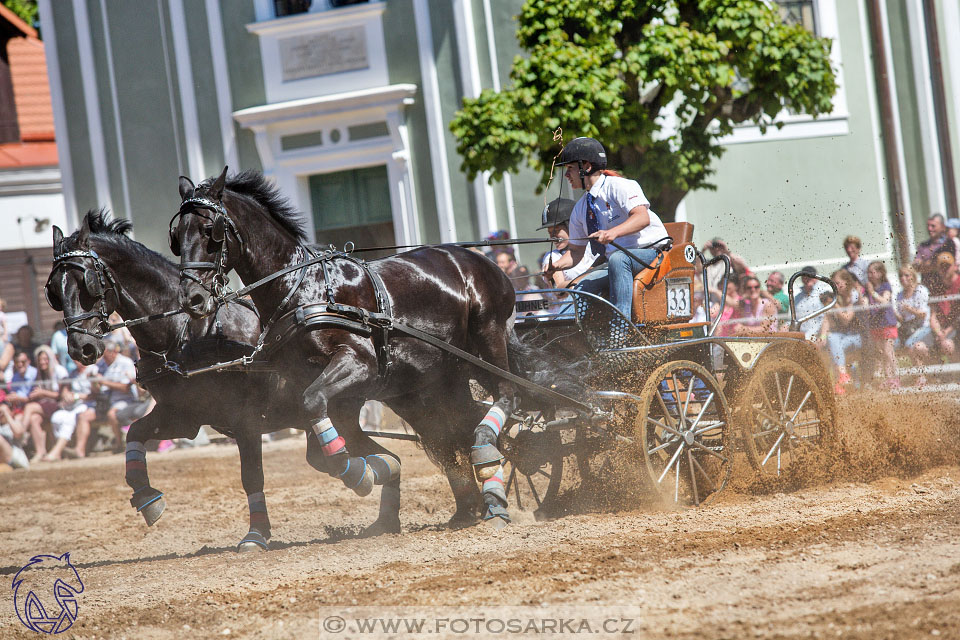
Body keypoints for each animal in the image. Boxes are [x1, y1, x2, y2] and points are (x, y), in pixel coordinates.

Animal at [45, 211, 402, 552]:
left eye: (87, 283)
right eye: (54, 292)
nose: (81, 348)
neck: (186, 332)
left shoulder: (245, 420)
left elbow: (252, 477)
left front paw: (256, 535)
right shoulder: (183, 416)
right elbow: (135, 432)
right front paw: (146, 497)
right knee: (368, 456)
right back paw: (382, 500)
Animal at [172, 168, 568, 528]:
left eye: (211, 231)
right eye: (177, 235)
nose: (192, 299)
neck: (302, 287)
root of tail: (485, 263)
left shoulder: (357, 364)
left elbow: (315, 406)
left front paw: (356, 473)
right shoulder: (331, 391)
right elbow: (320, 448)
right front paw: (372, 475)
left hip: (486, 344)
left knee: (507, 396)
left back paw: (494, 466)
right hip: (443, 377)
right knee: (457, 425)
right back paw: (476, 500)